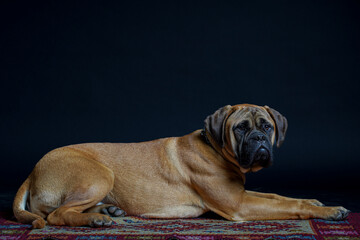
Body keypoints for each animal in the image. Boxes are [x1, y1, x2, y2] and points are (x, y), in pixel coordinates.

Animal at [12, 103, 350, 229]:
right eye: (241, 128)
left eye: (267, 126)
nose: (259, 139)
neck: (216, 148)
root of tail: (32, 171)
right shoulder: (239, 204)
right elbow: (288, 206)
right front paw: (330, 211)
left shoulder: (243, 194)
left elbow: (281, 197)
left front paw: (317, 201)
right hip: (100, 174)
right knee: (56, 214)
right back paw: (97, 219)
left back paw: (107, 210)